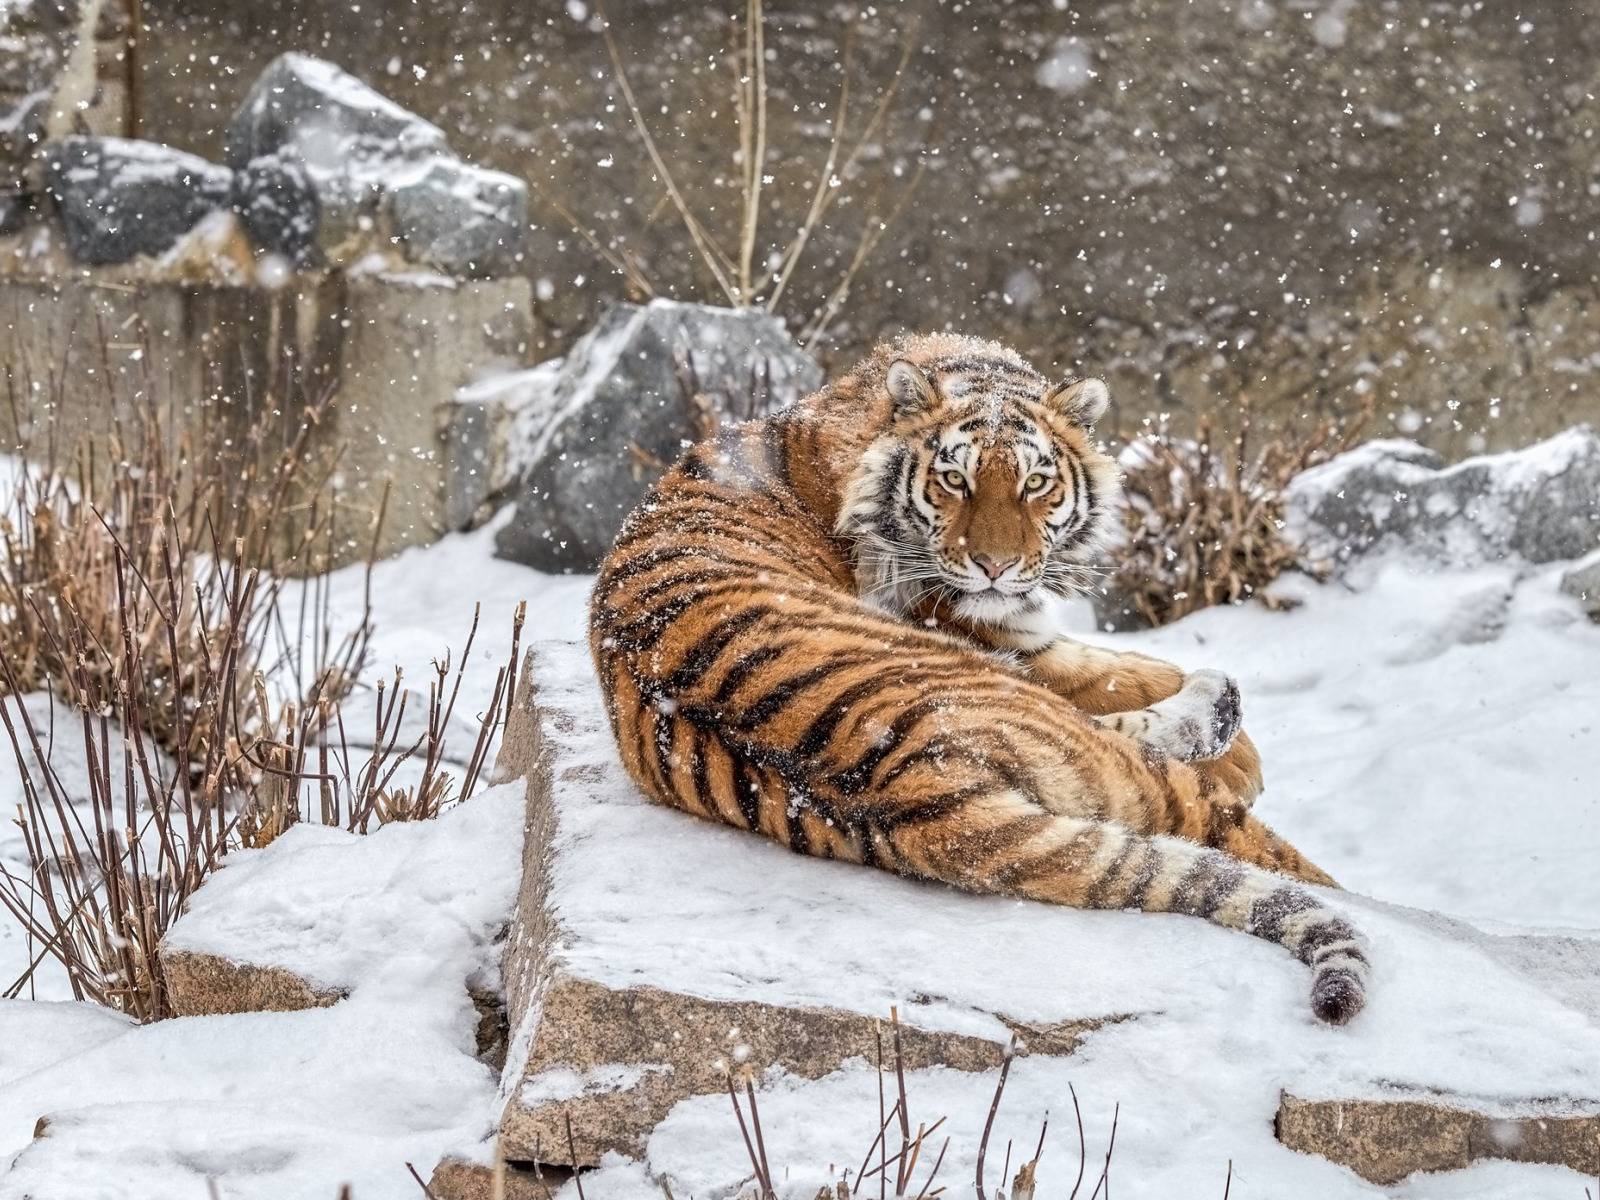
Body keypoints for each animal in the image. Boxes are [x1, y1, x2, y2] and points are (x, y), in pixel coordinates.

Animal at [595, 334, 1369, 1030]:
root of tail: (915, 786)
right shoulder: (1004, 633)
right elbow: (1115, 670)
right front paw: (1243, 753)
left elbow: (1127, 670)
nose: (994, 568)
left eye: (1035, 483)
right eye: (954, 481)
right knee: (1239, 831)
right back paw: (1223, 716)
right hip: (1079, 741)